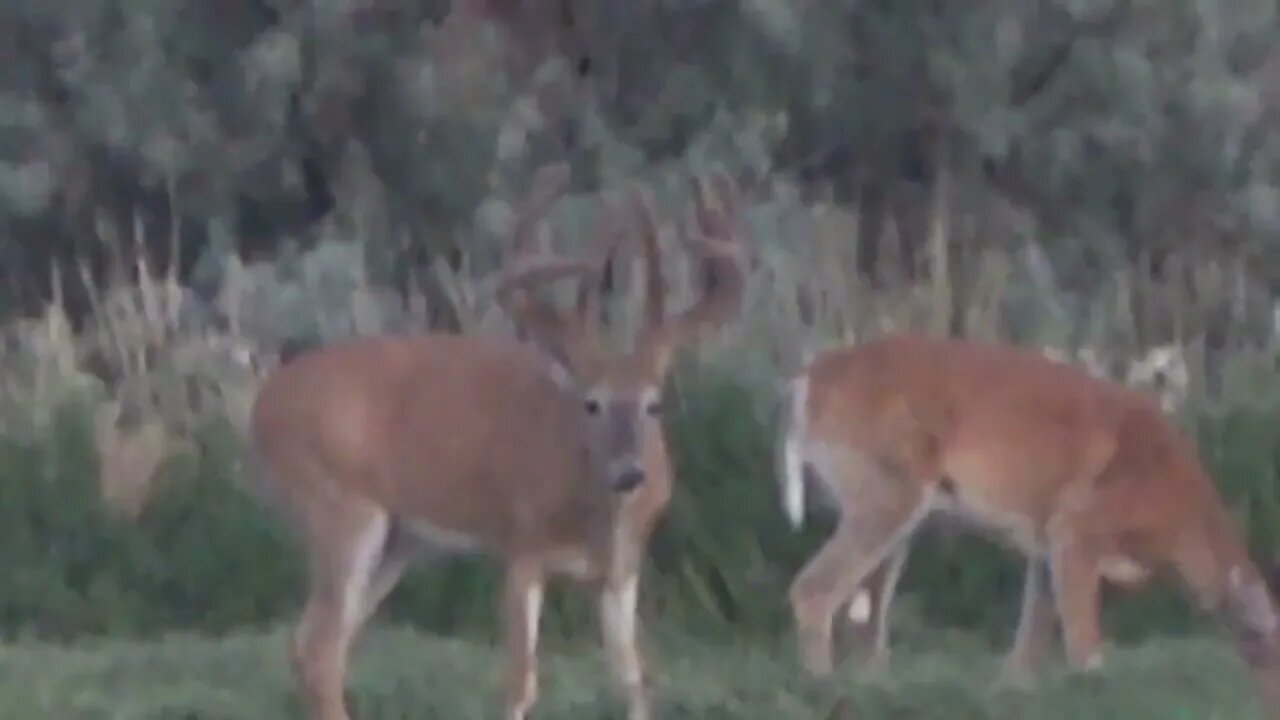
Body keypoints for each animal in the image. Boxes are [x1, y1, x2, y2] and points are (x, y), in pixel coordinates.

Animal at [244, 163, 747, 717]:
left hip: (399, 538)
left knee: (314, 642)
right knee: (319, 647)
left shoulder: (622, 568)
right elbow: (519, 681)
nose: (629, 472)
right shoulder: (521, 544)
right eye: (590, 403)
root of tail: (261, 407)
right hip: (340, 507)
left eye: (653, 404)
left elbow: (633, 679)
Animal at [778, 333, 1280, 712]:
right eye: (1272, 653)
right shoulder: (1077, 528)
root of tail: (806, 381)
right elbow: (1085, 647)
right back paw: (821, 689)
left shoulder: (1046, 547)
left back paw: (877, 689)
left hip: (892, 512)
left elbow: (1028, 646)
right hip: (887, 491)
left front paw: (1010, 695)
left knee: (865, 616)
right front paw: (1095, 696)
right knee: (814, 588)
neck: (1178, 519)